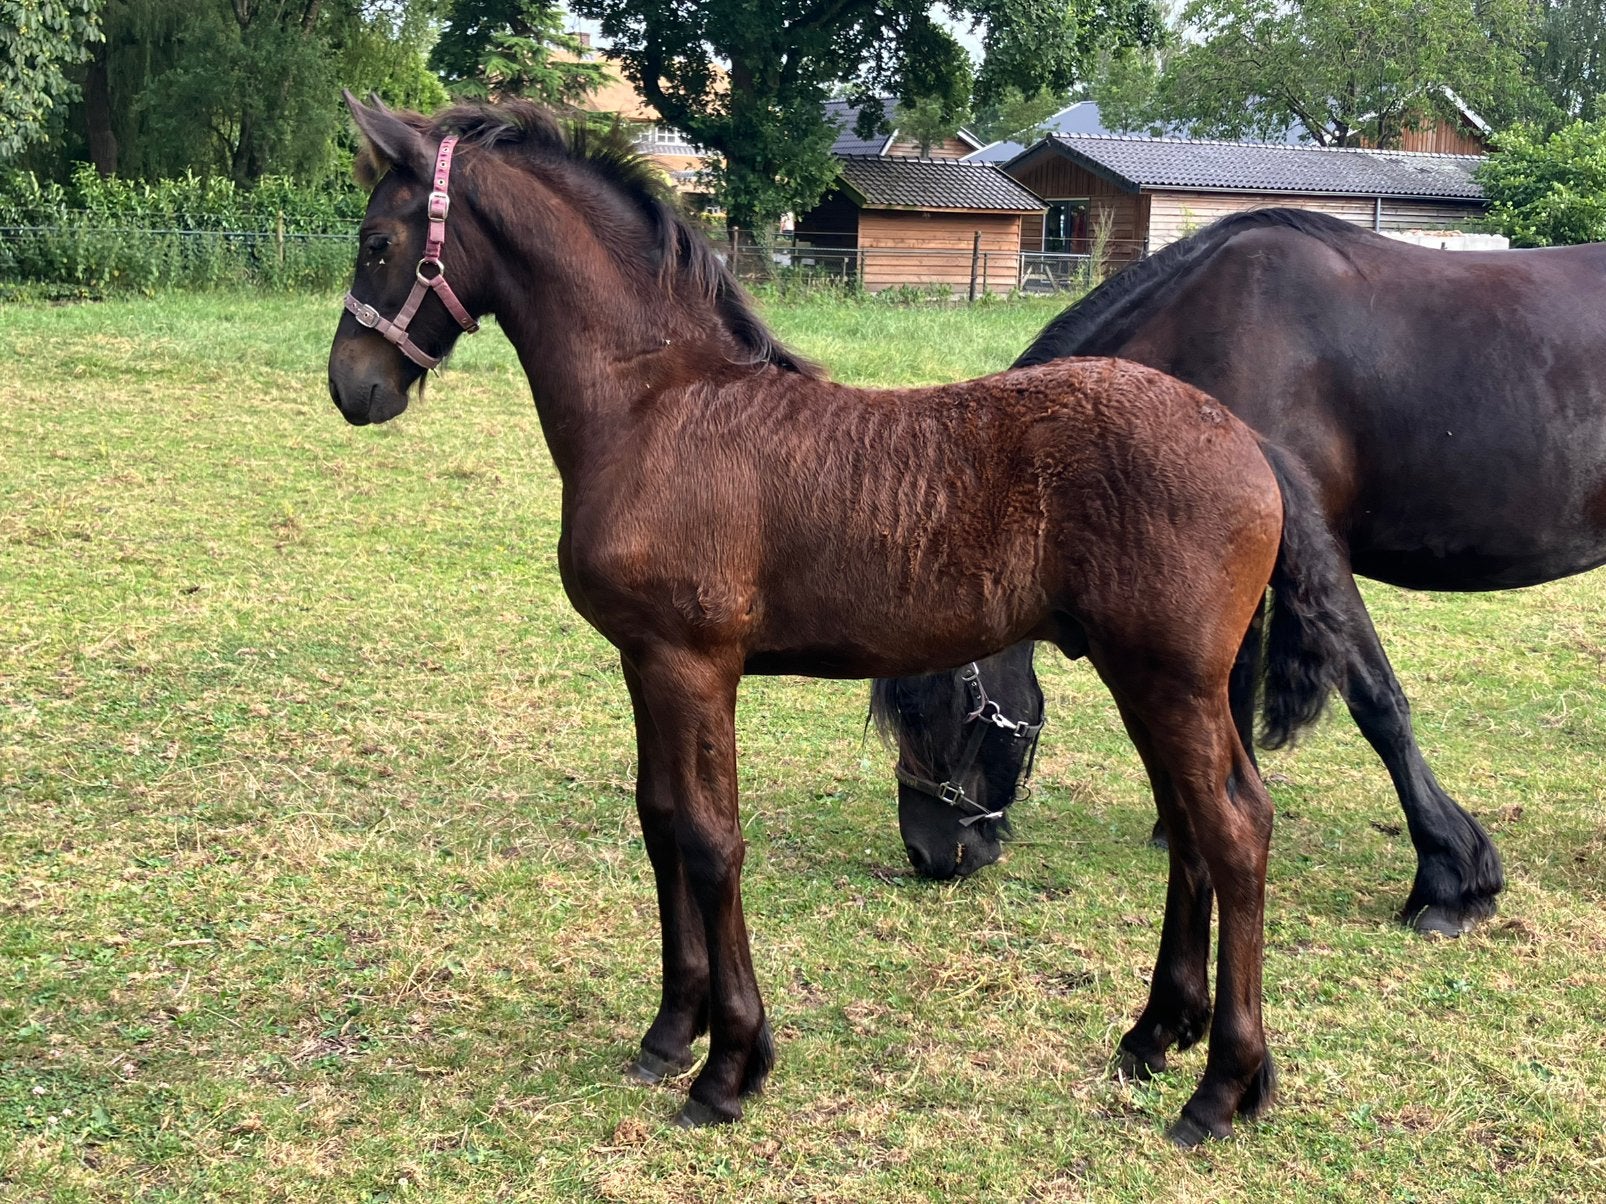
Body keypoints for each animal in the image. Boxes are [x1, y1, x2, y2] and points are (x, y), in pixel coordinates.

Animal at [325, 94, 1353, 1144]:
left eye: (378, 243)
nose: (352, 385)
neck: (655, 404)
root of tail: (1248, 438)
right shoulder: (643, 662)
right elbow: (662, 822)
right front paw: (670, 1034)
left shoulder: (695, 664)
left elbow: (712, 840)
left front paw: (730, 1067)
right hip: (1147, 678)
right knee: (1193, 828)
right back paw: (1154, 1036)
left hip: (1171, 678)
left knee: (1233, 830)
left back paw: (1222, 1087)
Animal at [882, 207, 1606, 936]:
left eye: (920, 703)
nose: (927, 853)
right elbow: (1233, 688)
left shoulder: (1315, 554)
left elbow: (1378, 703)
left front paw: (1450, 877)